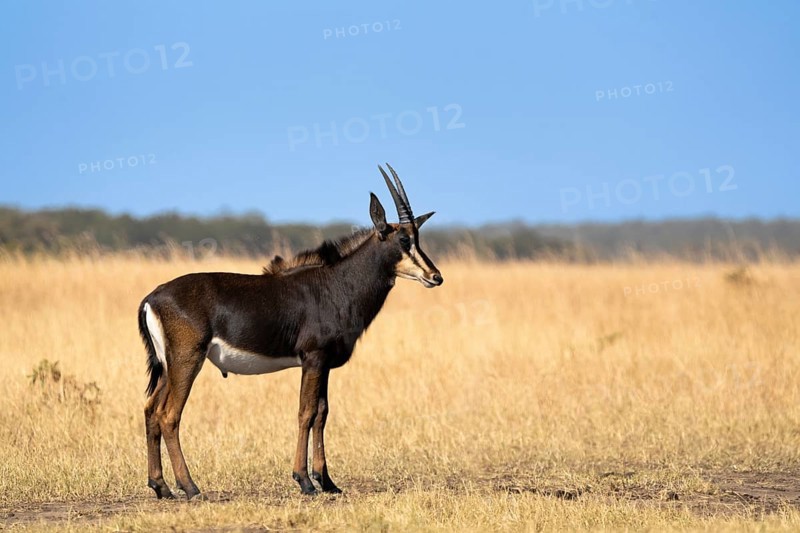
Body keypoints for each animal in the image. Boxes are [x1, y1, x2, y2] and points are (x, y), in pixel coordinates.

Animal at [137, 164, 443, 499]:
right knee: (169, 415)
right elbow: (305, 413)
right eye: (402, 239)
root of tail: (152, 297)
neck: (337, 284)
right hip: (187, 361)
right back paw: (190, 486)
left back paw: (161, 485)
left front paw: (328, 482)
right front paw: (305, 481)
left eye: (417, 237)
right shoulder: (313, 359)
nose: (435, 276)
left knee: (151, 410)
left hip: (169, 368)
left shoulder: (324, 365)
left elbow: (322, 413)